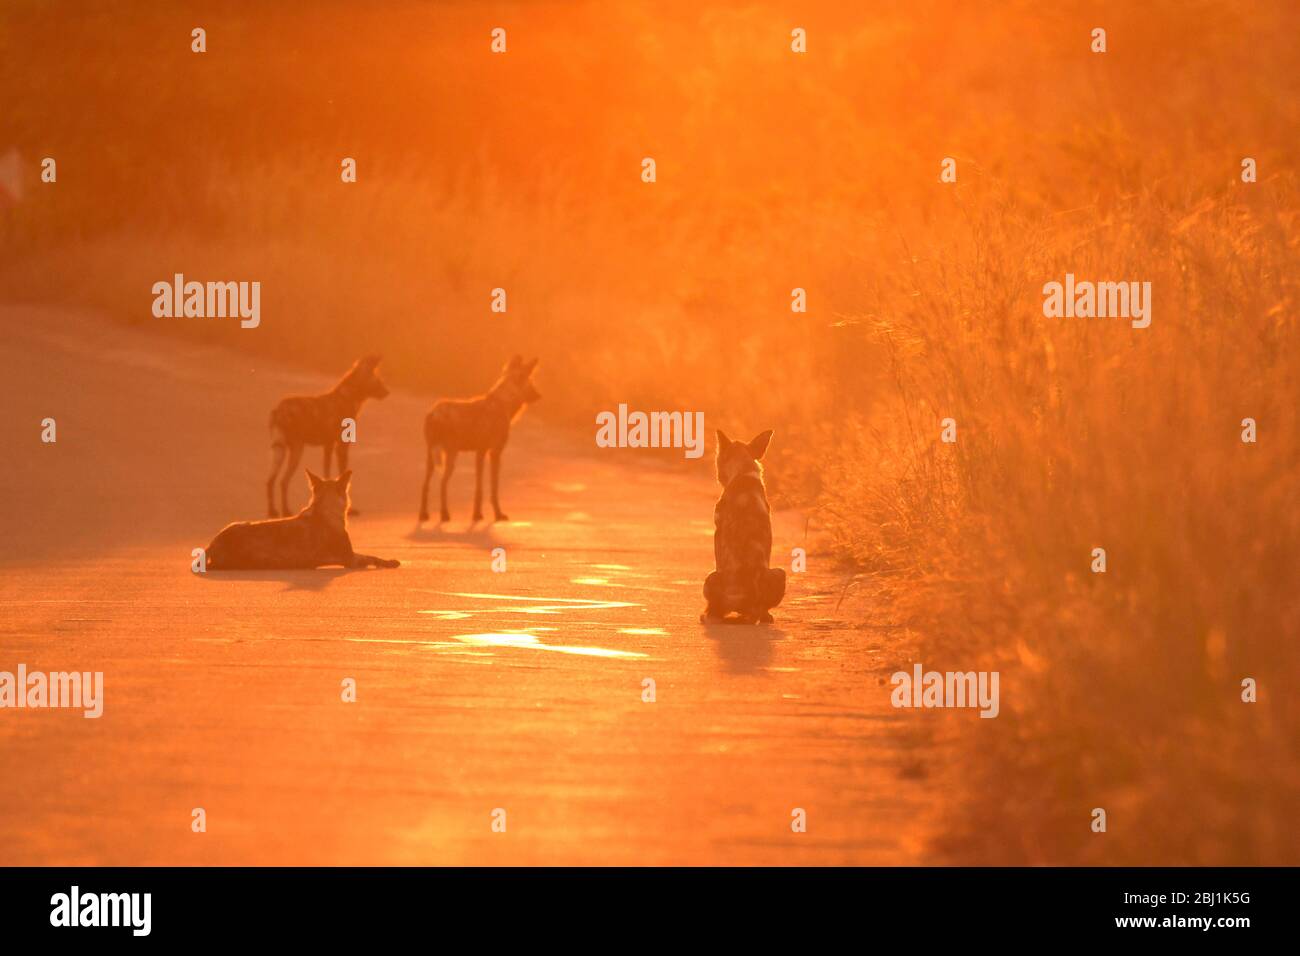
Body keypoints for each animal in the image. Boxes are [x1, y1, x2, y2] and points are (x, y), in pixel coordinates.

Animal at [205, 468, 397, 567]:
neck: (324, 510)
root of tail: (211, 545)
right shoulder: (350, 559)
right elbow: (371, 557)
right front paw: (389, 561)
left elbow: (371, 556)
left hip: (239, 523)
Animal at [263, 358, 384, 520]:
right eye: (378, 380)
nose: (387, 391)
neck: (347, 398)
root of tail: (279, 409)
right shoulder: (340, 446)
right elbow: (339, 474)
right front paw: (349, 509)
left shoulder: (328, 445)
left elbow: (328, 474)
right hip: (297, 449)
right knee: (282, 480)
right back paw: (284, 511)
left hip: (281, 450)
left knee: (273, 480)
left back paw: (275, 511)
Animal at [416, 356, 538, 522]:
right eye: (531, 383)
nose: (539, 395)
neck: (503, 404)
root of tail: (434, 413)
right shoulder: (492, 452)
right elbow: (491, 488)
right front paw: (495, 514)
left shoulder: (482, 453)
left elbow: (480, 488)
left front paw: (478, 514)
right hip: (451, 455)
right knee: (442, 483)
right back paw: (445, 514)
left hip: (432, 457)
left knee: (425, 485)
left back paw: (424, 514)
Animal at [702, 429, 780, 624]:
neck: (743, 472)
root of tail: (752, 607)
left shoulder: (718, 533)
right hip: (780, 573)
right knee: (765, 610)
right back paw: (766, 616)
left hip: (710, 579)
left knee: (715, 610)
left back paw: (708, 614)